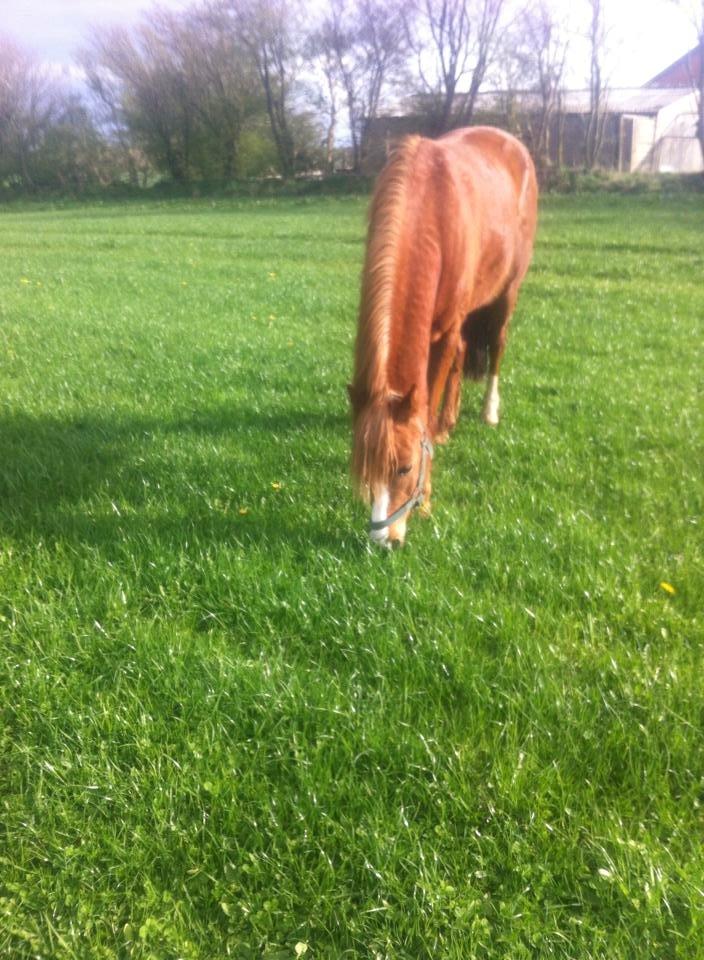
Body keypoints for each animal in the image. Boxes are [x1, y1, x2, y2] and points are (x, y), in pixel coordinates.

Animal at [350, 125, 536, 548]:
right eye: (364, 471)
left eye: (404, 469)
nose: (383, 541)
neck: (430, 214)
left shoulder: (447, 329)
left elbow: (427, 415)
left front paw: (428, 493)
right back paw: (452, 419)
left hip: (506, 294)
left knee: (496, 347)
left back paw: (488, 411)